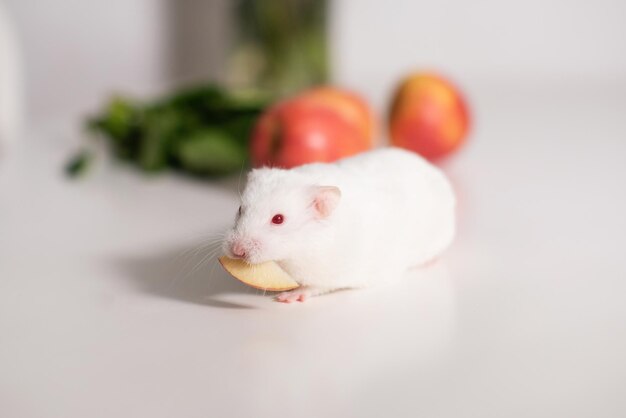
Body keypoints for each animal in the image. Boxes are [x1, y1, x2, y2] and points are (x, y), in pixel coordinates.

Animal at [224, 148, 454, 304]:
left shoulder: (328, 274)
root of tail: (431, 168)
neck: (299, 246)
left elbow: (314, 287)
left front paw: (287, 297)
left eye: (278, 219)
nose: (236, 251)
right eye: (240, 209)